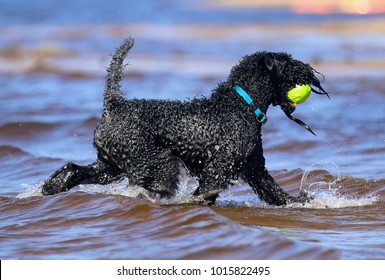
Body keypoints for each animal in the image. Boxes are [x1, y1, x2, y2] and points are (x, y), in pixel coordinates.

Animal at [40, 38, 328, 206]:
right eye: (287, 62)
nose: (312, 72)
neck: (240, 104)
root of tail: (113, 105)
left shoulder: (255, 168)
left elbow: (276, 193)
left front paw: (302, 200)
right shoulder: (218, 170)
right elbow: (206, 191)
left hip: (110, 166)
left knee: (72, 170)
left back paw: (49, 188)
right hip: (153, 165)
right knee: (155, 185)